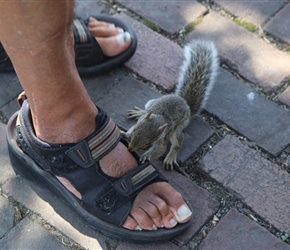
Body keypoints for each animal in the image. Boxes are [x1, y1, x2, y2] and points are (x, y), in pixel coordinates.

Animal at [124, 40, 218, 170]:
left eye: (148, 143)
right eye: (134, 132)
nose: (130, 149)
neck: (160, 118)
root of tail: (184, 102)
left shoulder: (162, 139)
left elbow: (160, 149)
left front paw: (146, 155)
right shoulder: (141, 122)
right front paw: (126, 133)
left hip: (178, 129)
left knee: (179, 141)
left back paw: (171, 157)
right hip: (151, 102)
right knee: (146, 110)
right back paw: (139, 112)